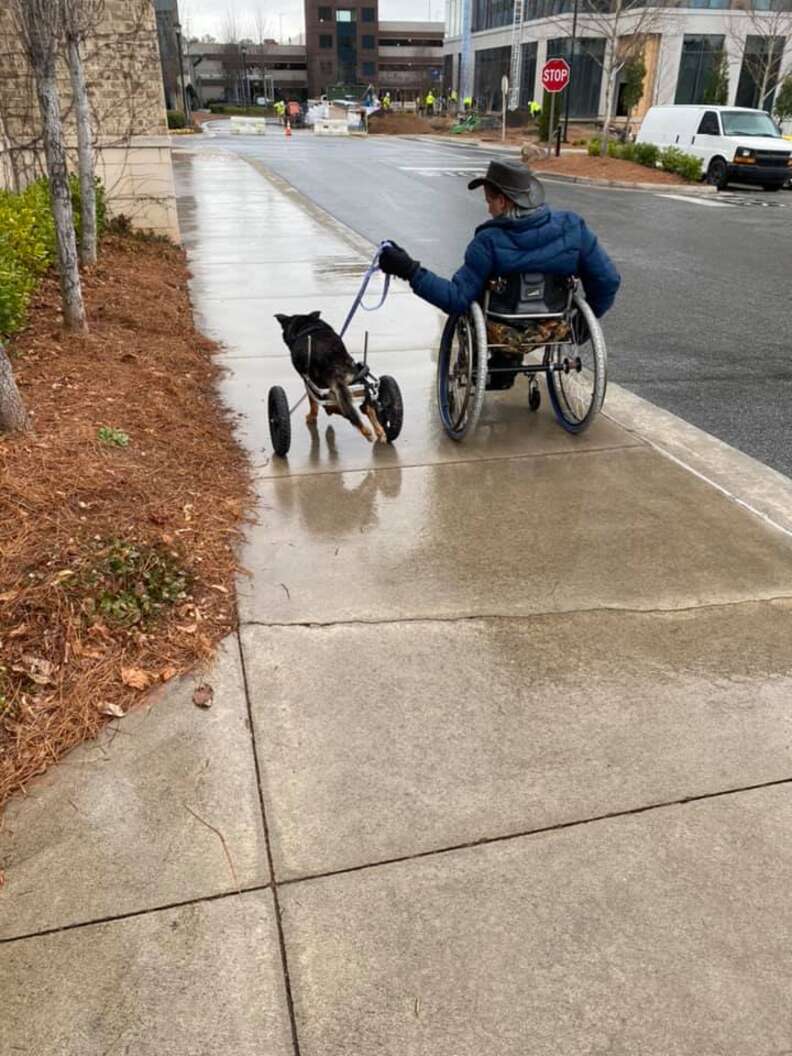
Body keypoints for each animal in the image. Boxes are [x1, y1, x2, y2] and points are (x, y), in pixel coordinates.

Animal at [276, 308, 386, 441]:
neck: (307, 326)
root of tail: (334, 364)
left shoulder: (307, 381)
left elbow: (313, 403)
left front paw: (312, 416)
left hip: (322, 386)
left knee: (336, 409)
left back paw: (364, 430)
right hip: (356, 380)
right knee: (368, 407)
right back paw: (378, 430)